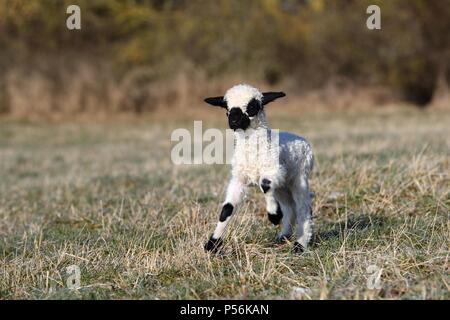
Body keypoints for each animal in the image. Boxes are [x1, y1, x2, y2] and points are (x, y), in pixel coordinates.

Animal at [203, 83, 312, 252]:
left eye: (252, 106)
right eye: (226, 107)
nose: (233, 120)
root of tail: (302, 139)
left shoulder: (274, 171)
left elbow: (265, 185)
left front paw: (273, 215)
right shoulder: (239, 180)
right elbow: (226, 210)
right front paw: (212, 244)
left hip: (299, 177)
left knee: (303, 208)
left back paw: (300, 243)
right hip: (282, 185)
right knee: (289, 207)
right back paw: (283, 235)